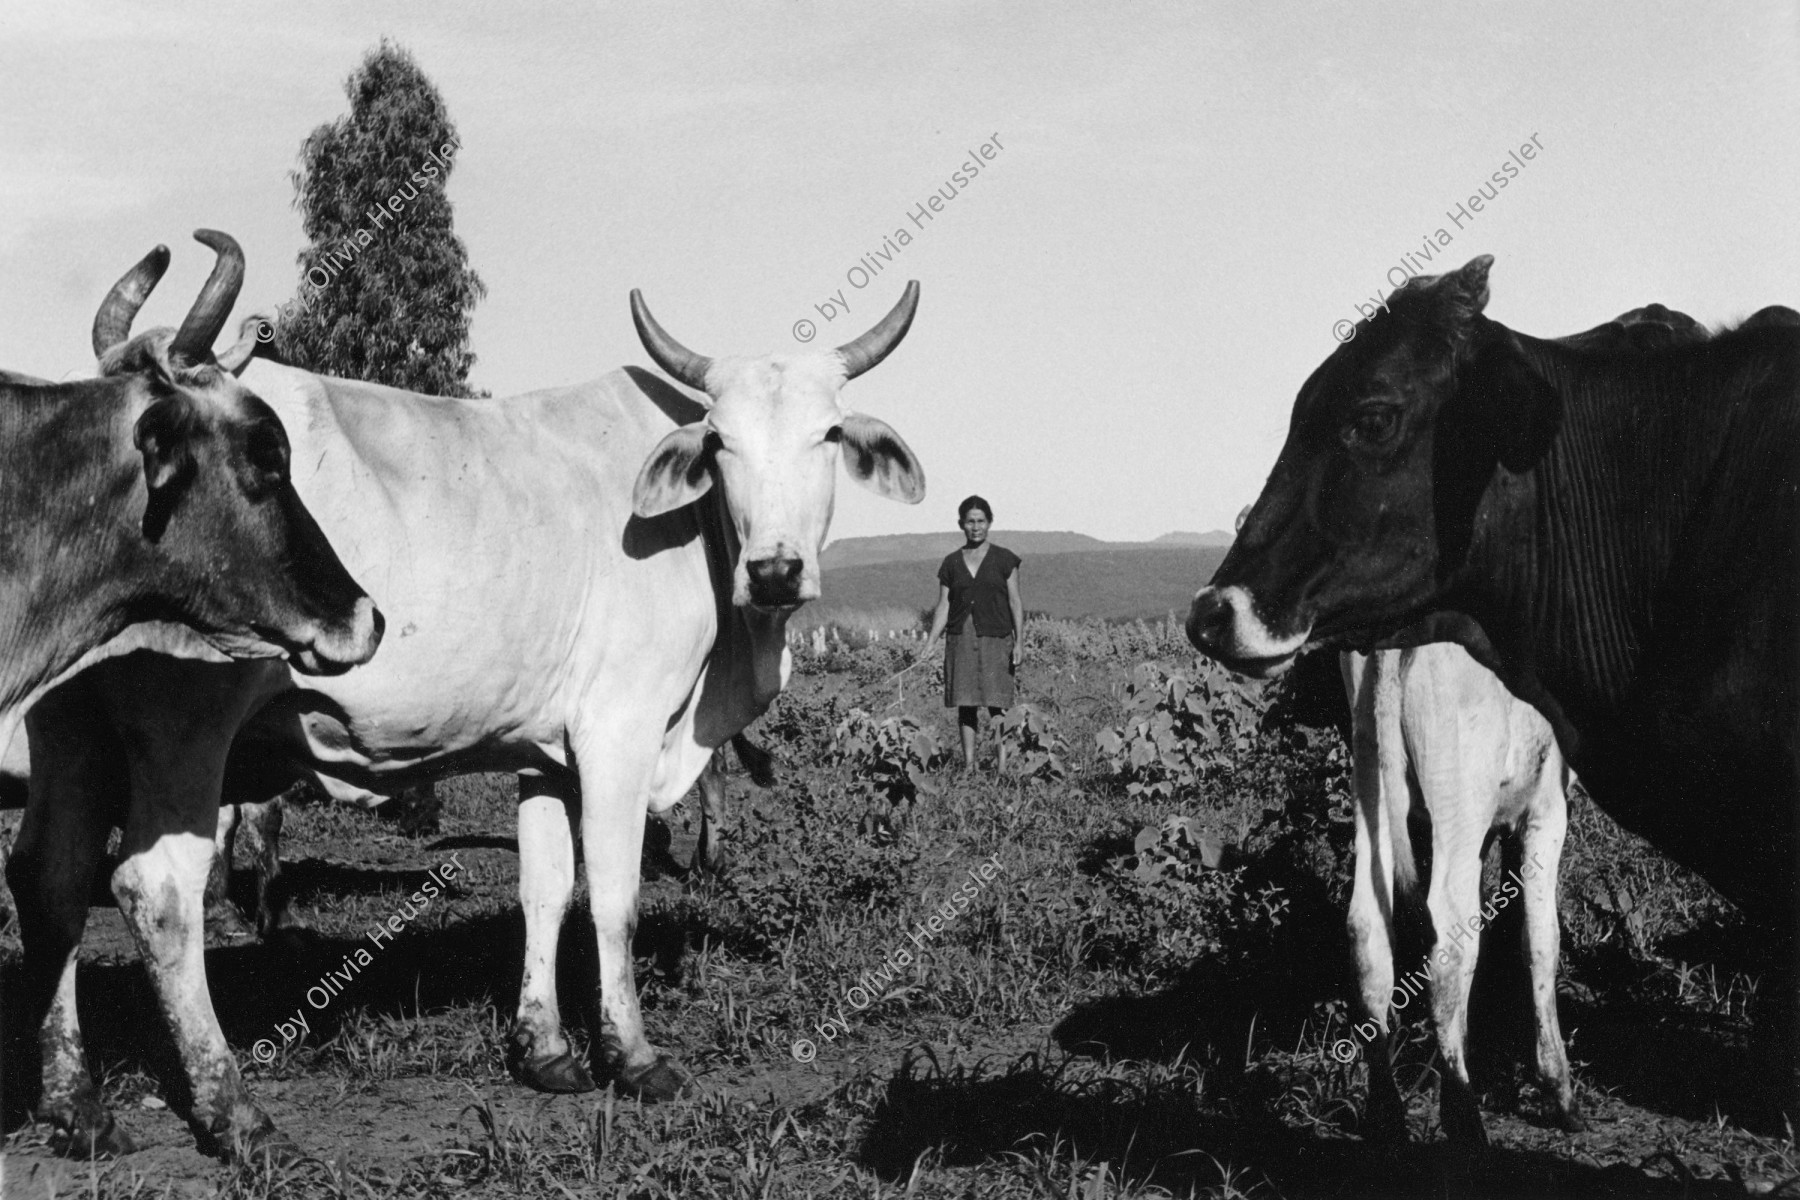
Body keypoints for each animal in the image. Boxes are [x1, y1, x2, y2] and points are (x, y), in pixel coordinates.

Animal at [7, 284, 921, 1165]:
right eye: (720, 442)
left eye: (828, 433)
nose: (775, 570)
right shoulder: (618, 732)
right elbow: (614, 897)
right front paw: (632, 1056)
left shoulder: (547, 755)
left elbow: (546, 889)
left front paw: (545, 1048)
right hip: (185, 728)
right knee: (157, 890)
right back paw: (234, 1114)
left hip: (74, 732)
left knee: (50, 879)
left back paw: (75, 1106)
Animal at [1346, 644, 1584, 1151]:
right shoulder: (1547, 803)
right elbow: (1540, 937)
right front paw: (1558, 1088)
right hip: (1461, 794)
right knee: (1449, 938)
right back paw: (1464, 1121)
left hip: (1370, 776)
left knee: (1367, 931)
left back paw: (1387, 1118)